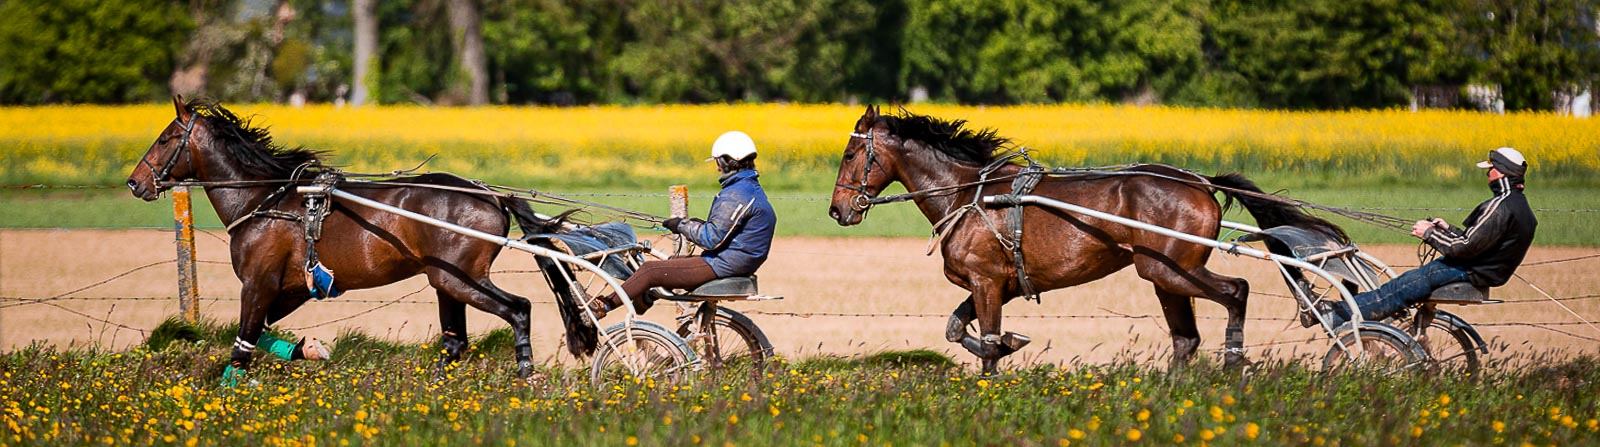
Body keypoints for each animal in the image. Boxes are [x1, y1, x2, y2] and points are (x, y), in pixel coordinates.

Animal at [128, 99, 582, 384]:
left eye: (166, 138)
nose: (135, 182)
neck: (265, 200)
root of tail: (491, 196)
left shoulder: (258, 283)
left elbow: (242, 343)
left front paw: (227, 388)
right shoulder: (291, 289)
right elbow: (261, 333)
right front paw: (309, 350)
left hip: (460, 278)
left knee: (518, 309)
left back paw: (525, 375)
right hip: (445, 281)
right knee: (455, 341)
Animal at [832, 106, 1344, 373]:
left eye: (851, 153)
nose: (838, 209)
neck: (970, 193)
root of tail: (1199, 182)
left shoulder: (986, 281)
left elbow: (989, 342)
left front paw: (998, 359)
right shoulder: (1001, 285)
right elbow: (958, 330)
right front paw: (1011, 341)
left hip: (1170, 268)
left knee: (1236, 291)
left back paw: (1234, 362)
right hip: (1163, 277)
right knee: (1185, 339)